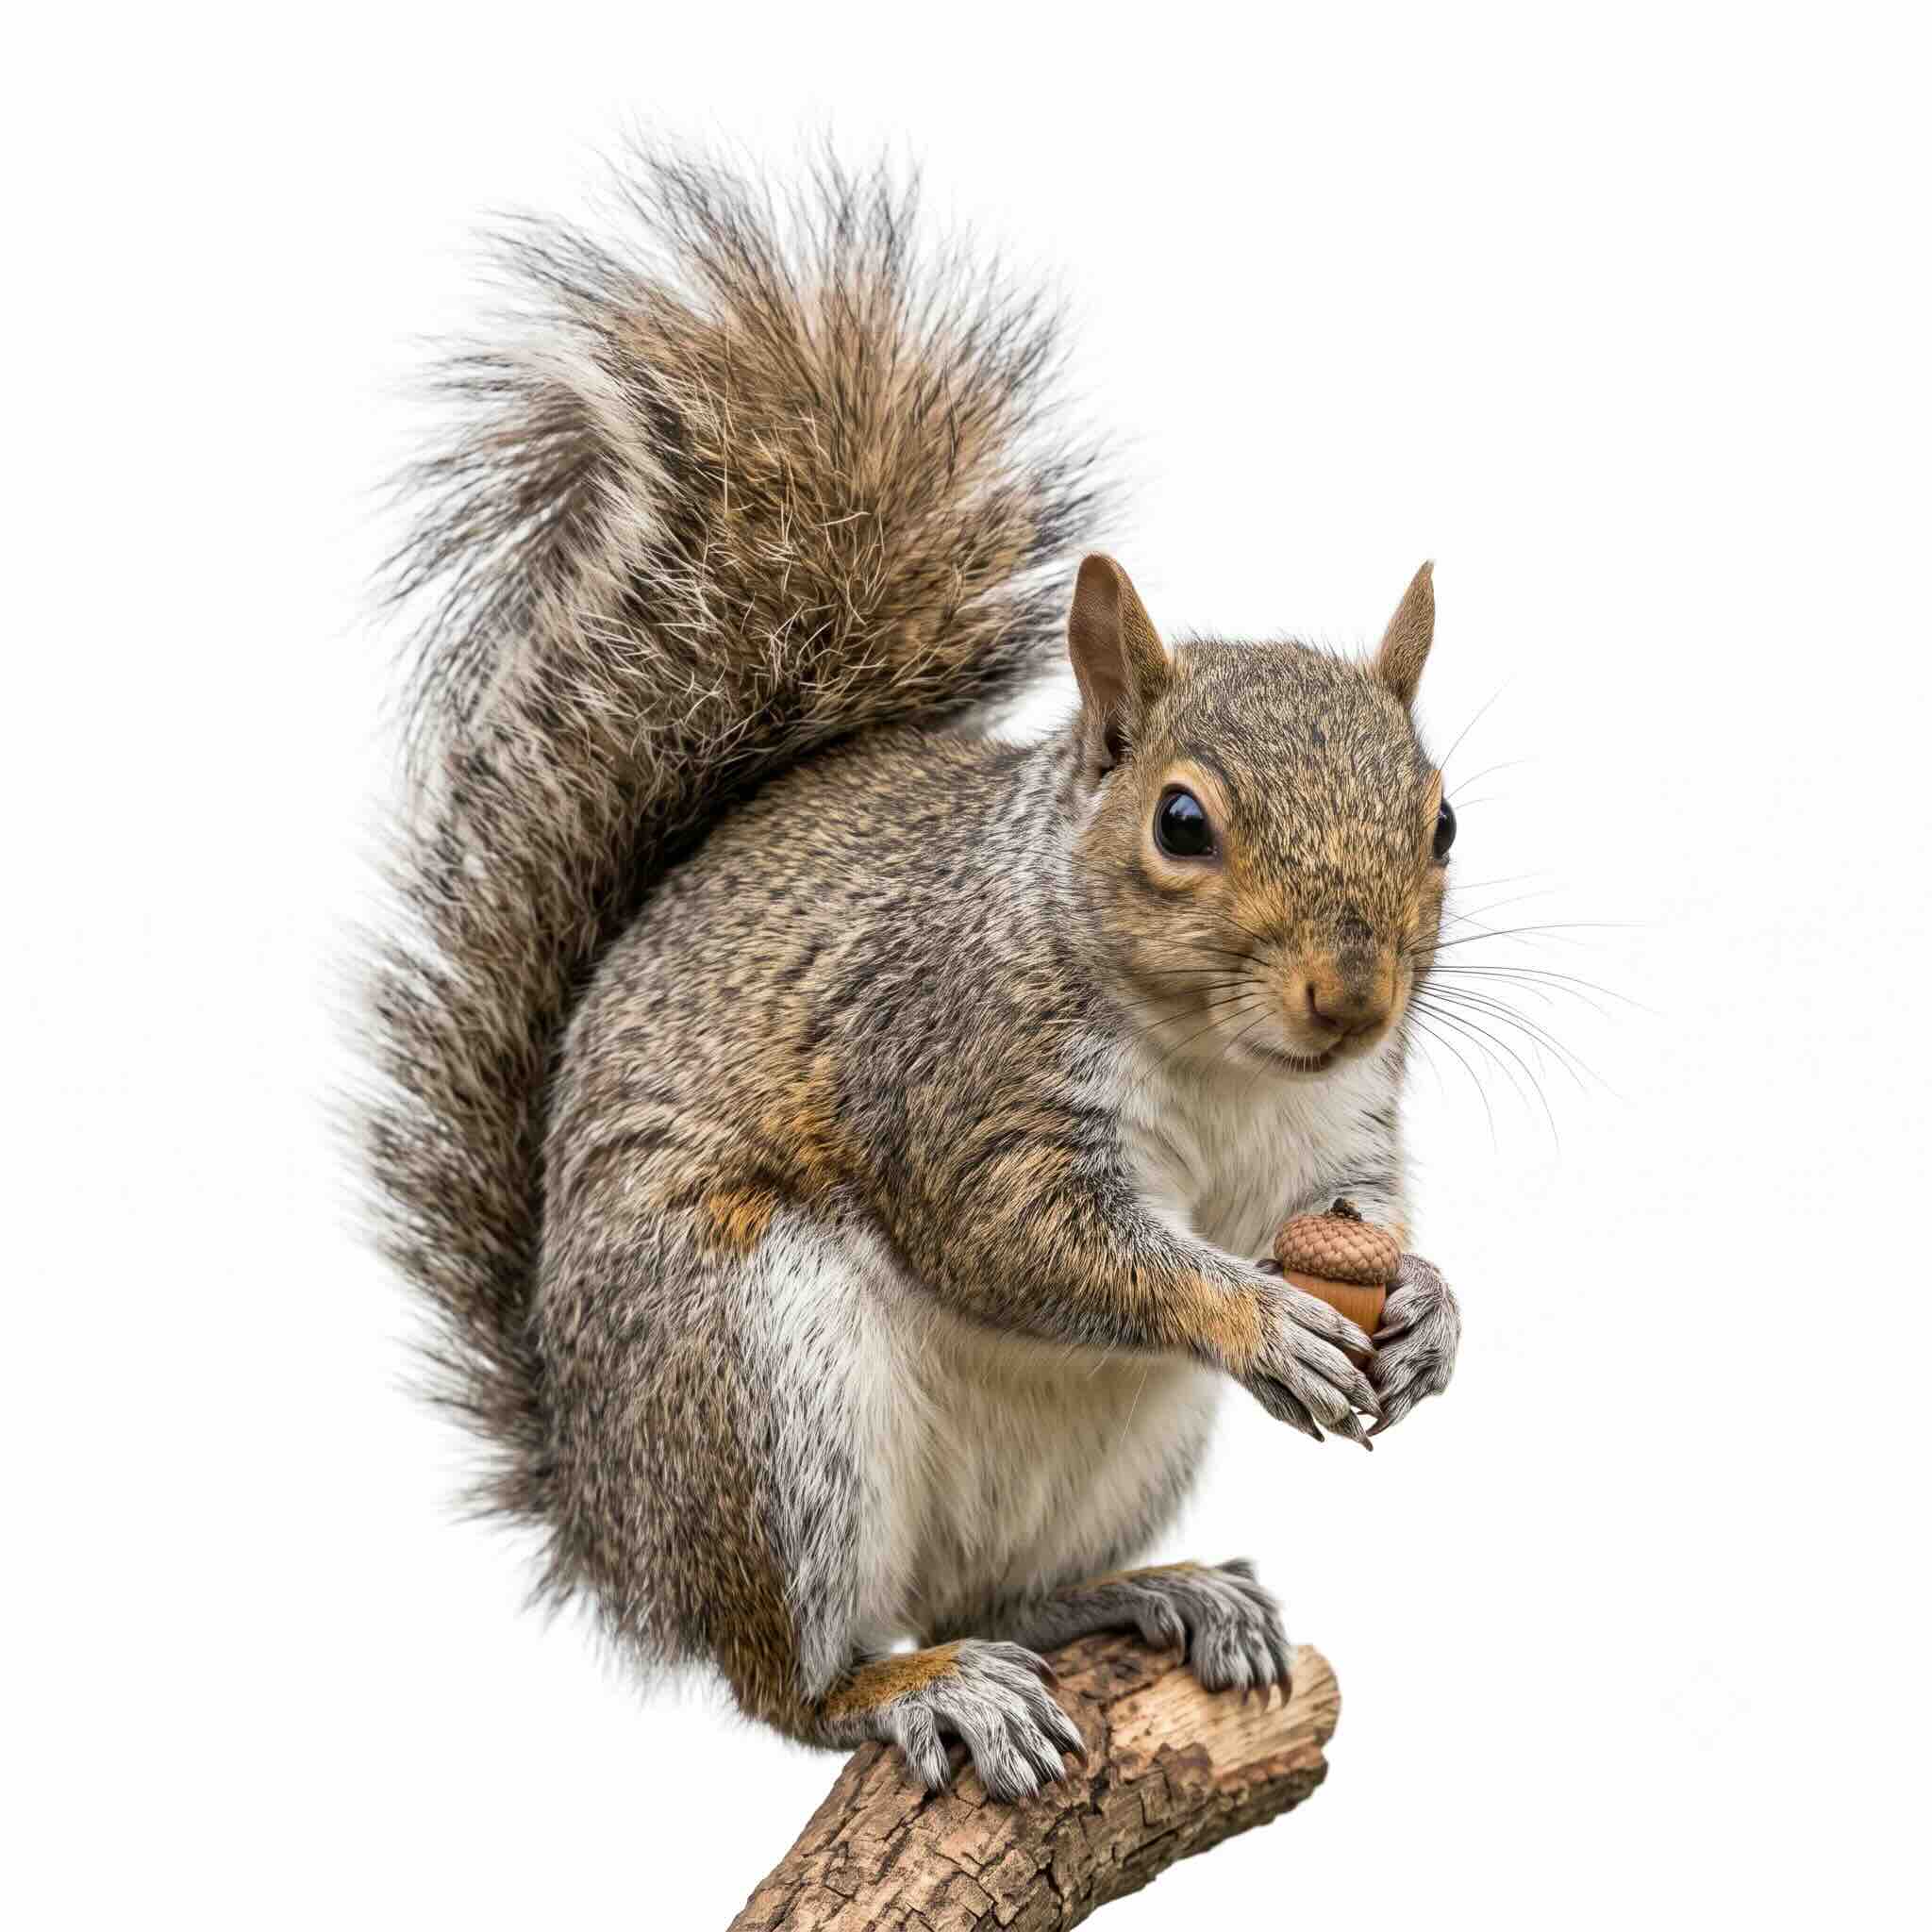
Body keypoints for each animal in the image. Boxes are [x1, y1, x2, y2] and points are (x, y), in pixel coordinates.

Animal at [361, 149, 1462, 1802]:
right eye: (1181, 824)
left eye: (1444, 821)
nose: (1354, 1000)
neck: (1219, 1062)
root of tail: (610, 1527)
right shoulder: (943, 1063)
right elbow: (1031, 1239)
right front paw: (1260, 1321)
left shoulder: (1335, 1129)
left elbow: (1358, 1216)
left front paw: (1431, 1312)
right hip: (752, 1380)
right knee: (794, 1679)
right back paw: (917, 1690)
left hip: (1104, 1456)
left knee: (992, 1590)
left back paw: (1144, 1596)